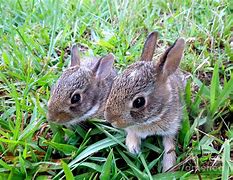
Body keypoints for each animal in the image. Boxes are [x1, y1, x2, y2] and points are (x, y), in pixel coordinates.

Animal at [104, 31, 185, 172]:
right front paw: (133, 148)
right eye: (114, 83)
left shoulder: (172, 128)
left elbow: (169, 147)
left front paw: (169, 168)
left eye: (139, 102)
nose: (110, 119)